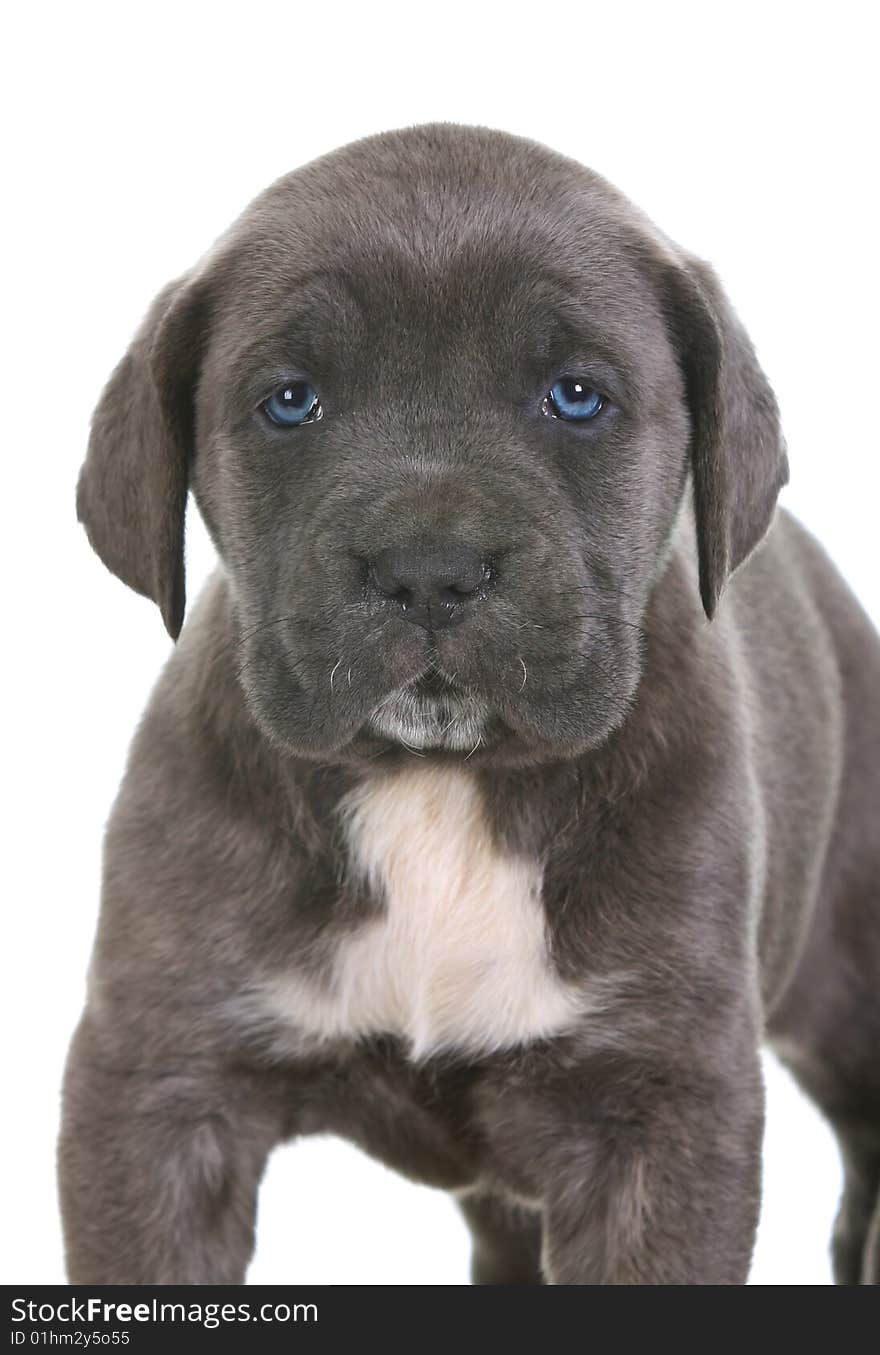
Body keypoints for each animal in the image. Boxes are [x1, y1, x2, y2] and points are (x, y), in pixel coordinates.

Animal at [61, 121, 878, 1284]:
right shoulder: (161, 1086)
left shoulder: (660, 1108)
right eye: (291, 400)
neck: (441, 785)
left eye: (576, 396)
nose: (429, 565)